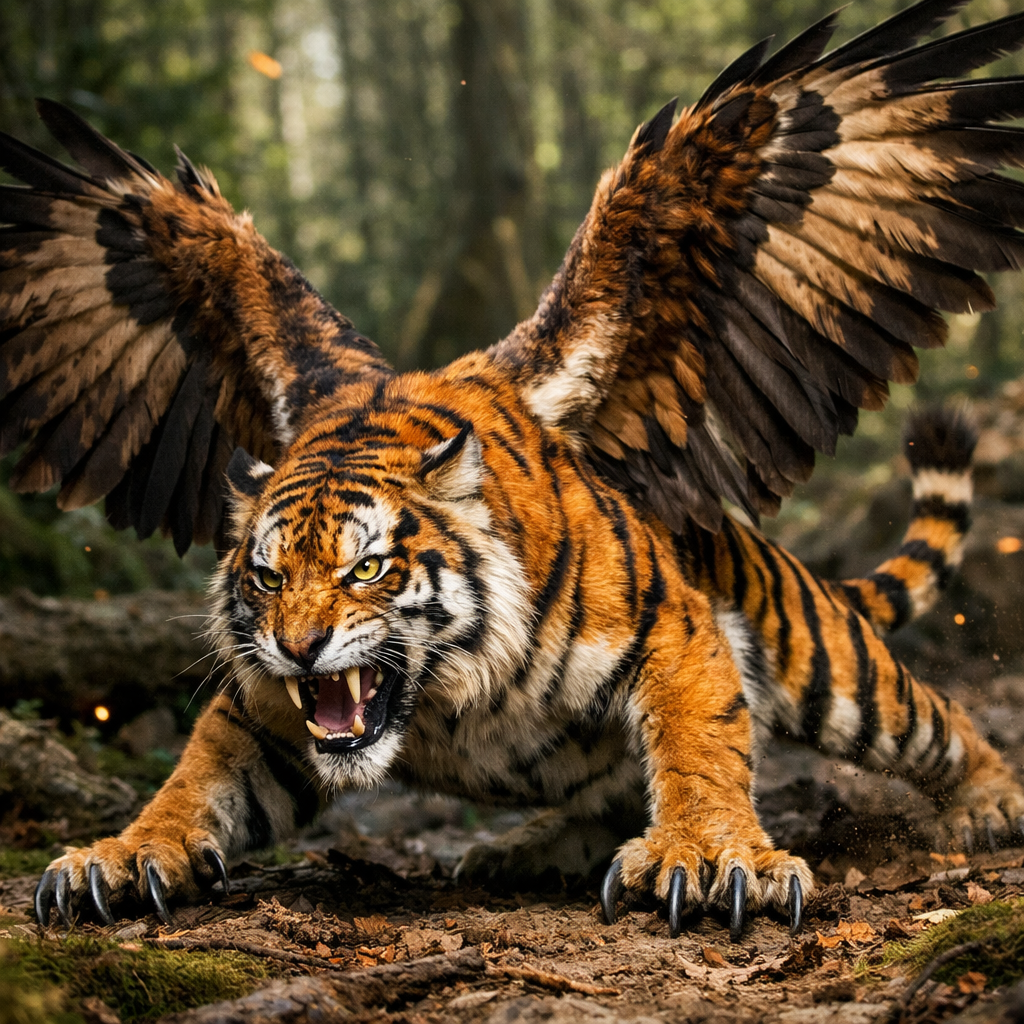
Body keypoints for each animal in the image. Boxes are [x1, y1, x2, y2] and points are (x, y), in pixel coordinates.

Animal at [4, 0, 1024, 940]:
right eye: (266, 577)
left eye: (366, 568)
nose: (300, 647)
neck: (442, 695)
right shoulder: (261, 704)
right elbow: (197, 774)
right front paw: (124, 856)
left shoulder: (676, 630)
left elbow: (700, 743)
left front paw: (708, 855)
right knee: (606, 798)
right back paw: (520, 850)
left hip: (833, 666)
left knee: (941, 721)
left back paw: (991, 803)